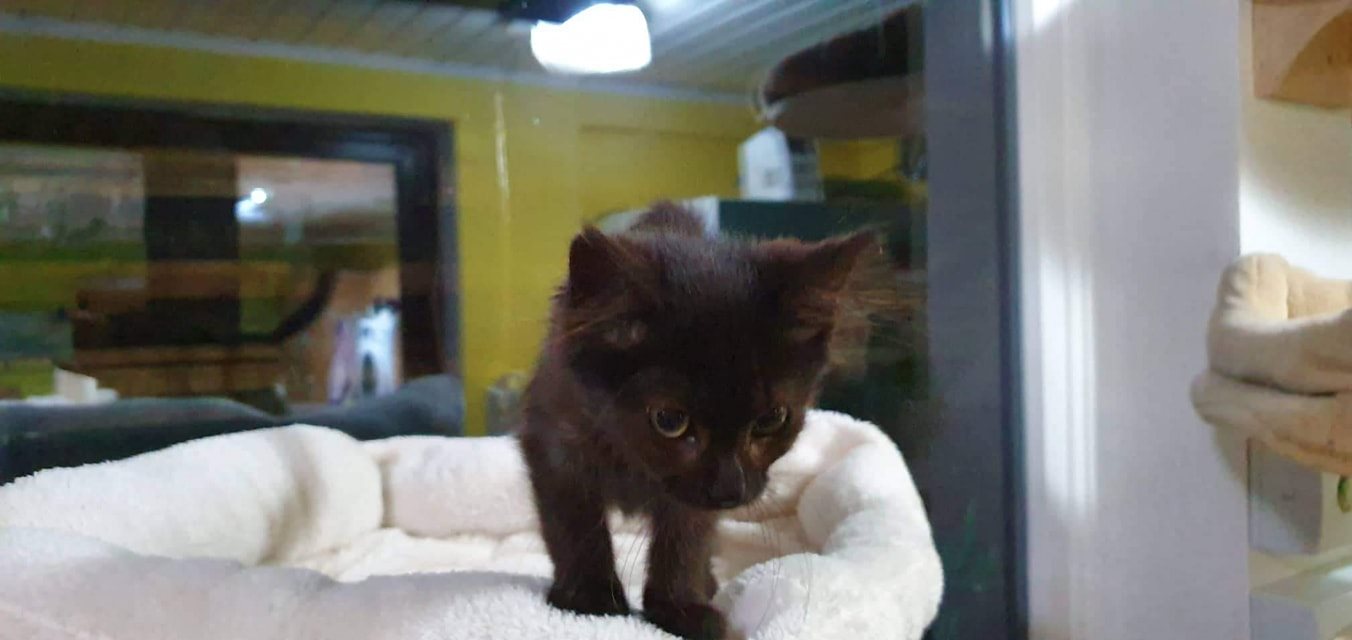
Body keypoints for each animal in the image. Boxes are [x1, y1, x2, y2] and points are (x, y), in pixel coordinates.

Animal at [519, 202, 881, 640]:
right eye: (670, 420)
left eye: (771, 419)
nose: (730, 491)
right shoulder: (556, 443)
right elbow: (574, 523)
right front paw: (589, 598)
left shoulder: (693, 497)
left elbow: (686, 537)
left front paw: (680, 606)